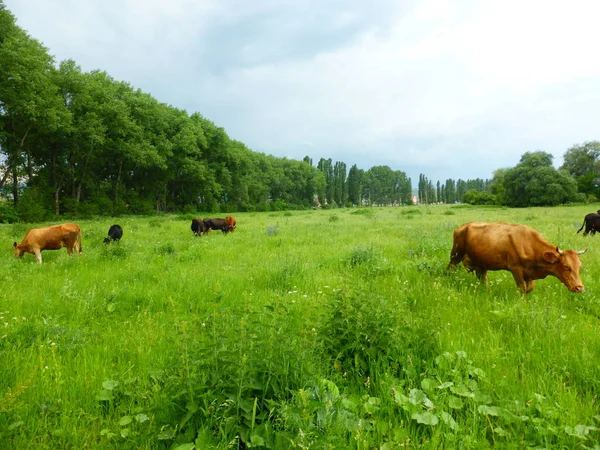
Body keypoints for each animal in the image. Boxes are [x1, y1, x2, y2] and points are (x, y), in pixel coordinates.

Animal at [450, 221, 584, 292]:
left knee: (483, 278)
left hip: (481, 264)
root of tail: (462, 226)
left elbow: (530, 288)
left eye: (579, 267)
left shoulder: (529, 272)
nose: (580, 288)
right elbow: (522, 288)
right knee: (449, 269)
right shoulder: (516, 268)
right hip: (456, 254)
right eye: (566, 266)